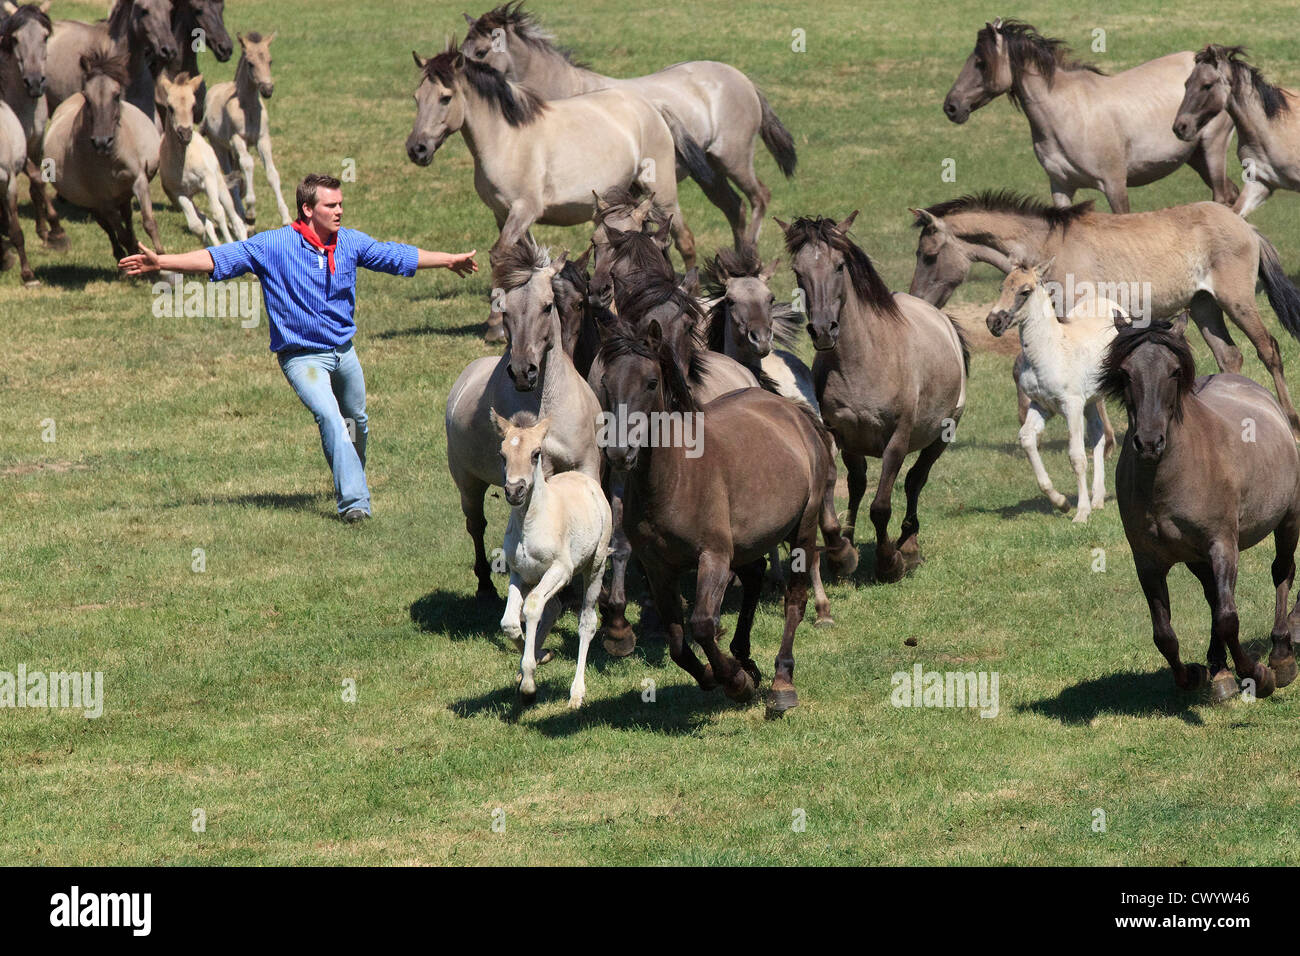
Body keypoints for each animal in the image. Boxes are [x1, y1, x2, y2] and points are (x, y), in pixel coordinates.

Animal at [909, 191, 1300, 437]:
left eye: (928, 254)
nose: (917, 298)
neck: (1050, 247)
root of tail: (1247, 227)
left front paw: (1106, 439)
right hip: (1205, 307)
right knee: (1230, 356)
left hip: (1237, 302)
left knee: (1269, 350)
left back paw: (1291, 420)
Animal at [941, 17, 1232, 213]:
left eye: (981, 62)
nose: (951, 107)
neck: (1066, 115)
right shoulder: (1061, 186)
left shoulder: (1115, 184)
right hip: (1196, 157)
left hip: (1213, 149)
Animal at [982, 260, 1128, 522]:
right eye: (1002, 287)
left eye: (1025, 291)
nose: (993, 322)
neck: (1050, 351)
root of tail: (1111, 304)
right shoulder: (1042, 405)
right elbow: (1027, 438)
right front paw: (1061, 503)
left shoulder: (1072, 406)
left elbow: (1077, 457)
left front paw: (1081, 513)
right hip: (1092, 400)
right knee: (1099, 434)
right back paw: (1098, 498)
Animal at [1097, 321, 1300, 702]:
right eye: (1126, 372)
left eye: (1175, 371)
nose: (1149, 443)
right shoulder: (1148, 561)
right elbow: (1164, 634)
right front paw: (1195, 674)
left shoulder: (1222, 545)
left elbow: (1228, 619)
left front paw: (1259, 675)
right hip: (1196, 557)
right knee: (1211, 596)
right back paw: (1219, 670)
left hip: (1288, 520)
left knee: (1282, 572)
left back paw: (1281, 656)